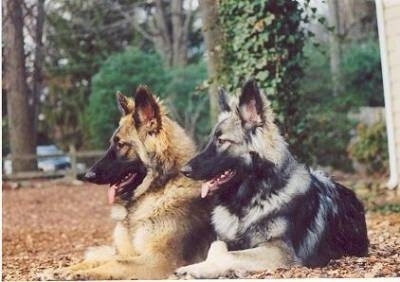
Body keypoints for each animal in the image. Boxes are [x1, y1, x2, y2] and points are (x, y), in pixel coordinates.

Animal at [42, 85, 214, 278]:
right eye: (111, 143)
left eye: (121, 144)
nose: (87, 175)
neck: (158, 189)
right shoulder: (128, 252)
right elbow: (100, 260)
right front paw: (62, 270)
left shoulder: (160, 261)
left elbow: (116, 263)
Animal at [175, 79, 368, 278]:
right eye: (211, 141)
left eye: (222, 141)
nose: (184, 170)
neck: (249, 201)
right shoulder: (225, 239)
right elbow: (217, 246)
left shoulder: (280, 251)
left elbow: (230, 255)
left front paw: (195, 269)